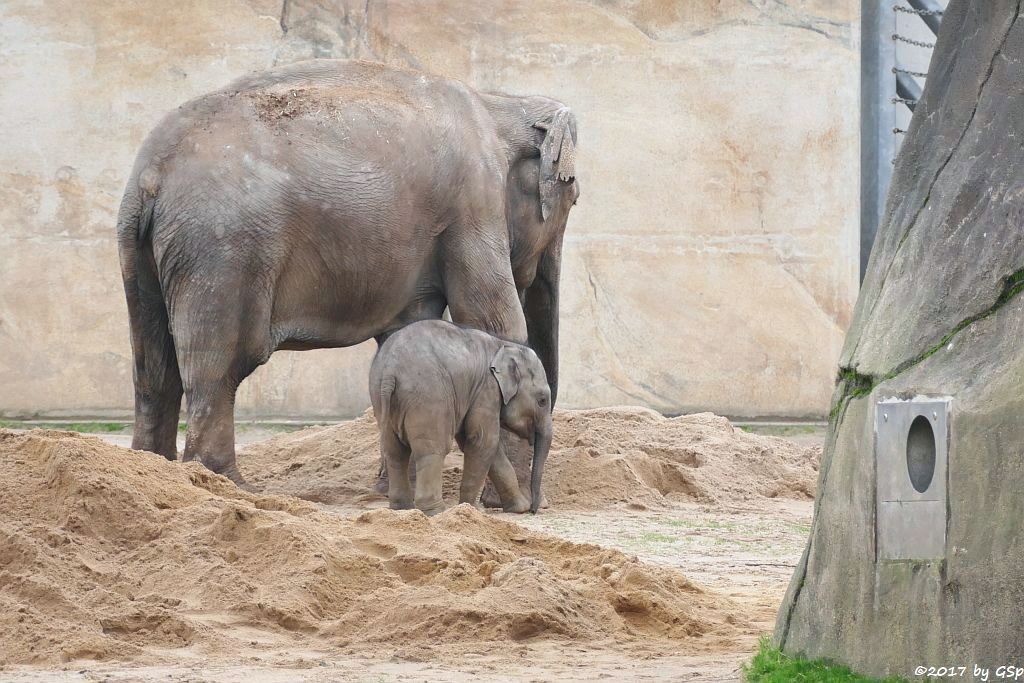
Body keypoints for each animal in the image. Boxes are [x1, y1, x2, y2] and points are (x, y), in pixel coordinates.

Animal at [368, 323, 552, 516]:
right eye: (542, 401)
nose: (533, 510)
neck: (502, 344)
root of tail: (389, 372)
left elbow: (481, 445)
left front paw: (518, 508)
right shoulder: (486, 389)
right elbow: (483, 441)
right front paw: (471, 509)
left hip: (382, 398)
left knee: (395, 452)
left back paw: (402, 509)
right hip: (429, 397)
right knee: (433, 449)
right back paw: (436, 512)